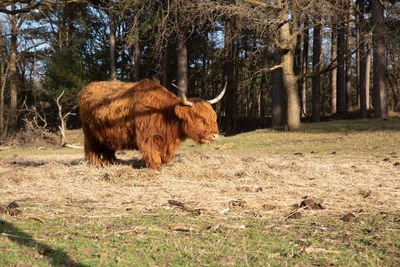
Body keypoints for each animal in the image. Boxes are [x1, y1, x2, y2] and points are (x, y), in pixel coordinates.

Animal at [76, 79, 223, 171]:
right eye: (198, 117)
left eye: (213, 117)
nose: (215, 136)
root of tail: (86, 89)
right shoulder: (148, 140)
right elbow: (154, 159)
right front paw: (155, 170)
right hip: (91, 136)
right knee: (93, 152)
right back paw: (96, 167)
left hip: (109, 137)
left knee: (107, 152)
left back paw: (110, 165)